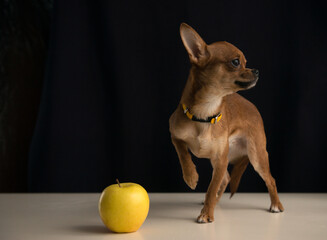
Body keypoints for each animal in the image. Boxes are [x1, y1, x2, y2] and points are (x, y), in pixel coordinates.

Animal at [169, 23, 284, 223]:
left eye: (245, 62)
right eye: (236, 62)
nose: (256, 70)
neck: (205, 113)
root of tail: (254, 108)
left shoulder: (220, 159)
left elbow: (211, 188)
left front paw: (206, 214)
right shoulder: (174, 135)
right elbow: (183, 153)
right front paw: (191, 176)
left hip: (257, 156)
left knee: (269, 180)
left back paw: (276, 205)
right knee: (226, 179)